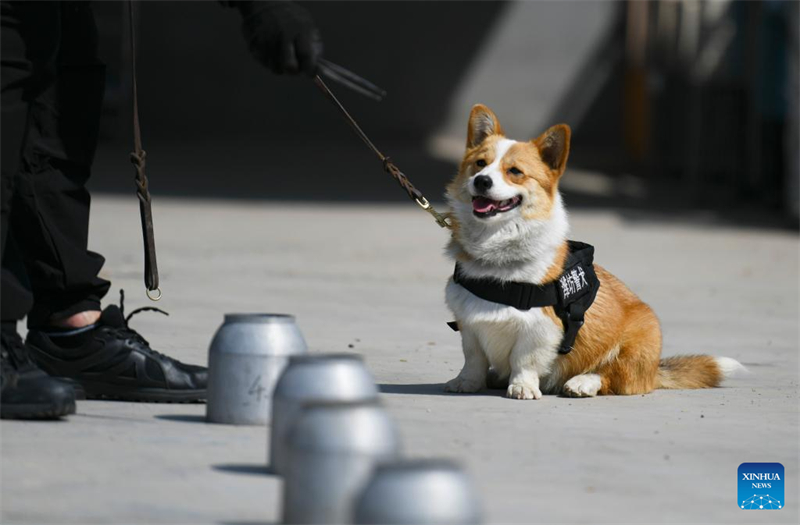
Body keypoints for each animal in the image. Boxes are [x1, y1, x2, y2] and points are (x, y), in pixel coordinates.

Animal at [440, 104, 740, 400]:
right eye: (480, 164)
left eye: (514, 171)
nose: (481, 181)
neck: (496, 250)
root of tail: (655, 371)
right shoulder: (470, 325)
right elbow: (474, 359)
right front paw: (466, 382)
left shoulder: (539, 329)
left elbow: (524, 360)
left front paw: (523, 386)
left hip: (640, 338)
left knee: (613, 375)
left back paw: (582, 382)